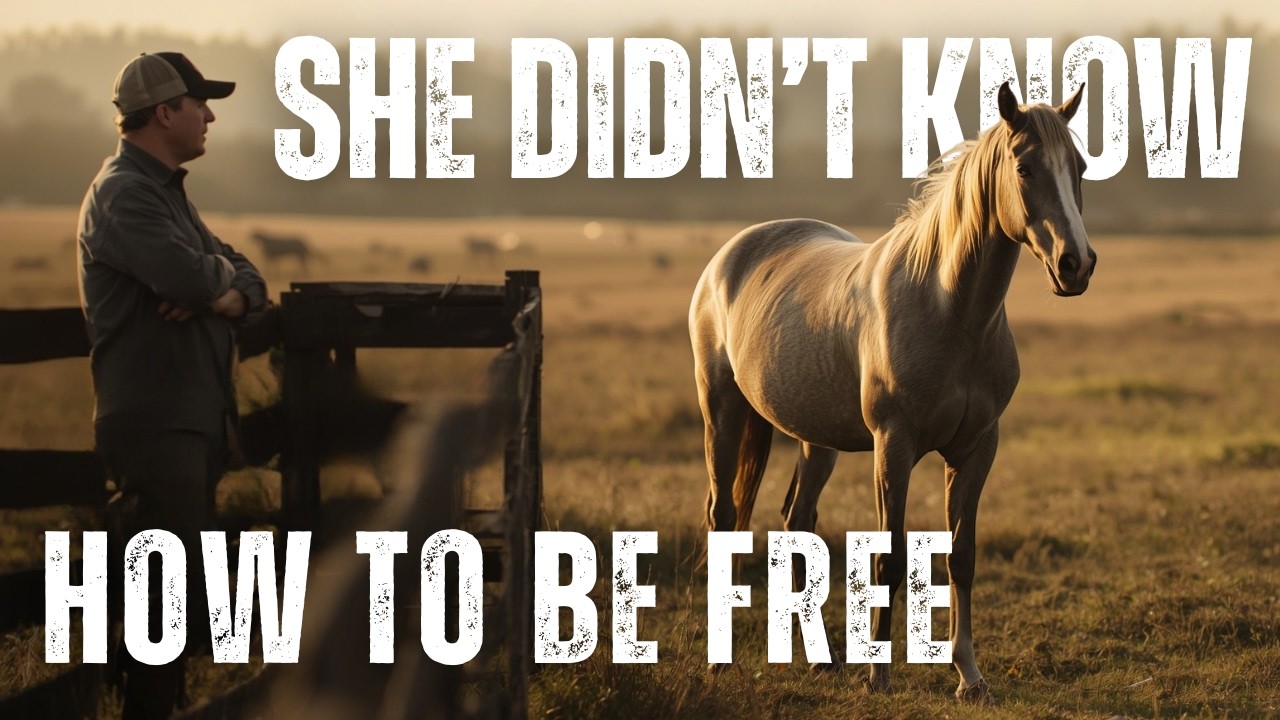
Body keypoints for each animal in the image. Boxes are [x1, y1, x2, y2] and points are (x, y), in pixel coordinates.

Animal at [688, 82, 1094, 702]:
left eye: (1080, 167)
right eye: (1025, 167)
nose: (1077, 264)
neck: (949, 310)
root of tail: (728, 256)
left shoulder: (978, 448)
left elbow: (961, 556)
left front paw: (969, 676)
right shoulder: (893, 447)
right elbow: (890, 557)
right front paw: (878, 674)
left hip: (816, 439)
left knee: (797, 522)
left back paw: (819, 660)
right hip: (723, 412)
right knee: (723, 516)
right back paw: (720, 661)